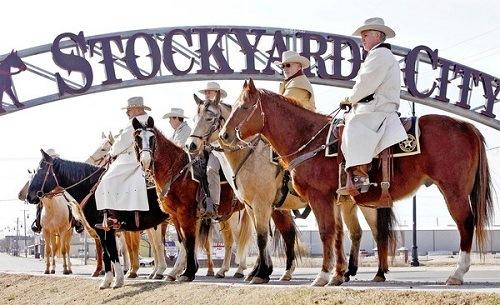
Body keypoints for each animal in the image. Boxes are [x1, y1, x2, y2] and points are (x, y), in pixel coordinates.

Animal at [25, 151, 170, 288]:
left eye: (40, 170)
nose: (29, 196)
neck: (93, 191)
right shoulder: (103, 231)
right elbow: (108, 254)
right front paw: (110, 280)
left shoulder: (106, 230)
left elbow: (112, 253)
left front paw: (115, 280)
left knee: (160, 245)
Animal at [186, 93, 396, 282]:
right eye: (194, 118)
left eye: (209, 118)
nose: (191, 145)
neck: (251, 157)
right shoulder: (259, 206)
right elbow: (277, 235)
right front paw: (273, 271)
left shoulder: (264, 205)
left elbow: (266, 236)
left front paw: (262, 272)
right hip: (346, 202)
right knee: (356, 232)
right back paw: (347, 271)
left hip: (365, 203)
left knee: (377, 233)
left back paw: (378, 273)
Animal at [221, 78, 494, 284]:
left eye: (243, 107)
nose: (224, 134)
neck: (309, 138)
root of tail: (465, 125)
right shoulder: (332, 199)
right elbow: (337, 234)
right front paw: (337, 275)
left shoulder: (313, 198)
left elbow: (325, 232)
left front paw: (321, 276)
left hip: (453, 191)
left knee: (465, 223)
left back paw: (457, 273)